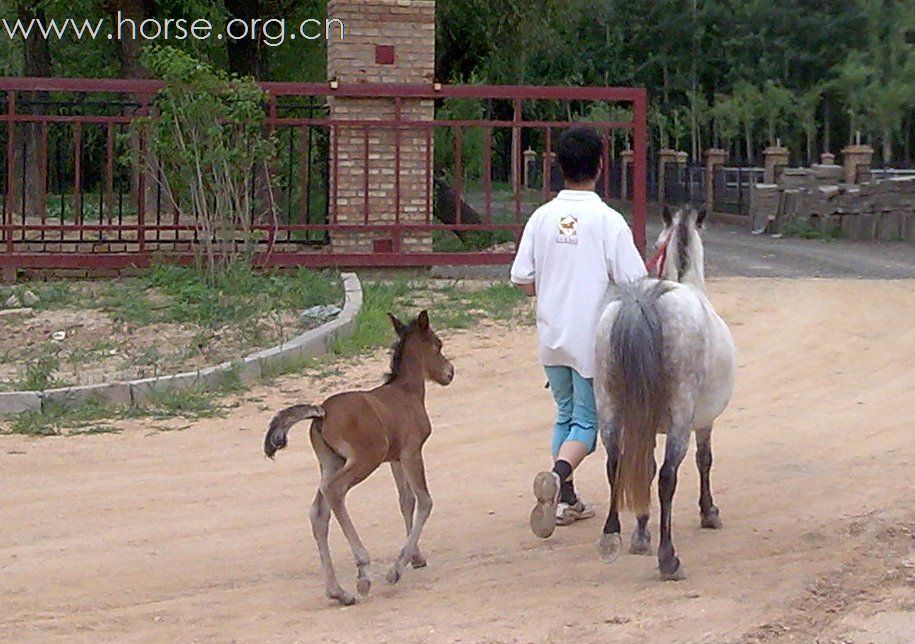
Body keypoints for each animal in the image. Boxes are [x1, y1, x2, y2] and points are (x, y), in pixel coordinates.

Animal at [262, 310, 452, 608]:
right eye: (438, 345)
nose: (450, 372)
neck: (406, 392)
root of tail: (322, 412)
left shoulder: (395, 459)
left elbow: (405, 501)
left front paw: (416, 557)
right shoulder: (412, 452)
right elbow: (424, 500)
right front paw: (396, 569)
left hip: (331, 462)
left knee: (318, 511)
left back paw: (338, 592)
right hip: (364, 460)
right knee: (335, 491)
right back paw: (362, 573)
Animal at [592, 209, 736, 580]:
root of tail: (643, 303)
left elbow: (644, 466)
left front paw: (640, 534)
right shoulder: (703, 422)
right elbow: (703, 460)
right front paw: (709, 512)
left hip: (609, 407)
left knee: (615, 463)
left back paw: (612, 535)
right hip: (682, 417)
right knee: (669, 477)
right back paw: (668, 557)